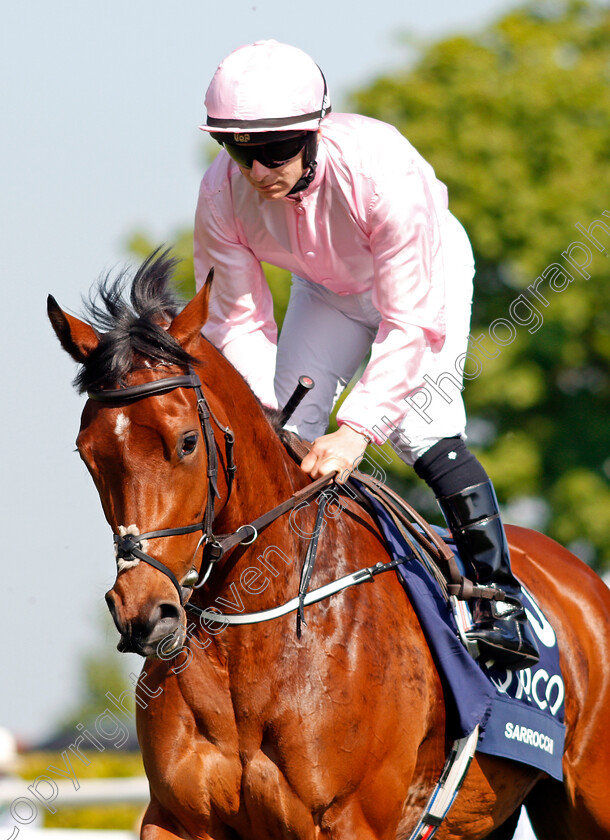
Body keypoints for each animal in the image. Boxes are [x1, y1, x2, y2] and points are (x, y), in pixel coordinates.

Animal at [47, 253, 608, 836]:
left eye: (186, 442)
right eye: (88, 453)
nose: (143, 613)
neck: (251, 642)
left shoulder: (348, 819)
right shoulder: (175, 818)